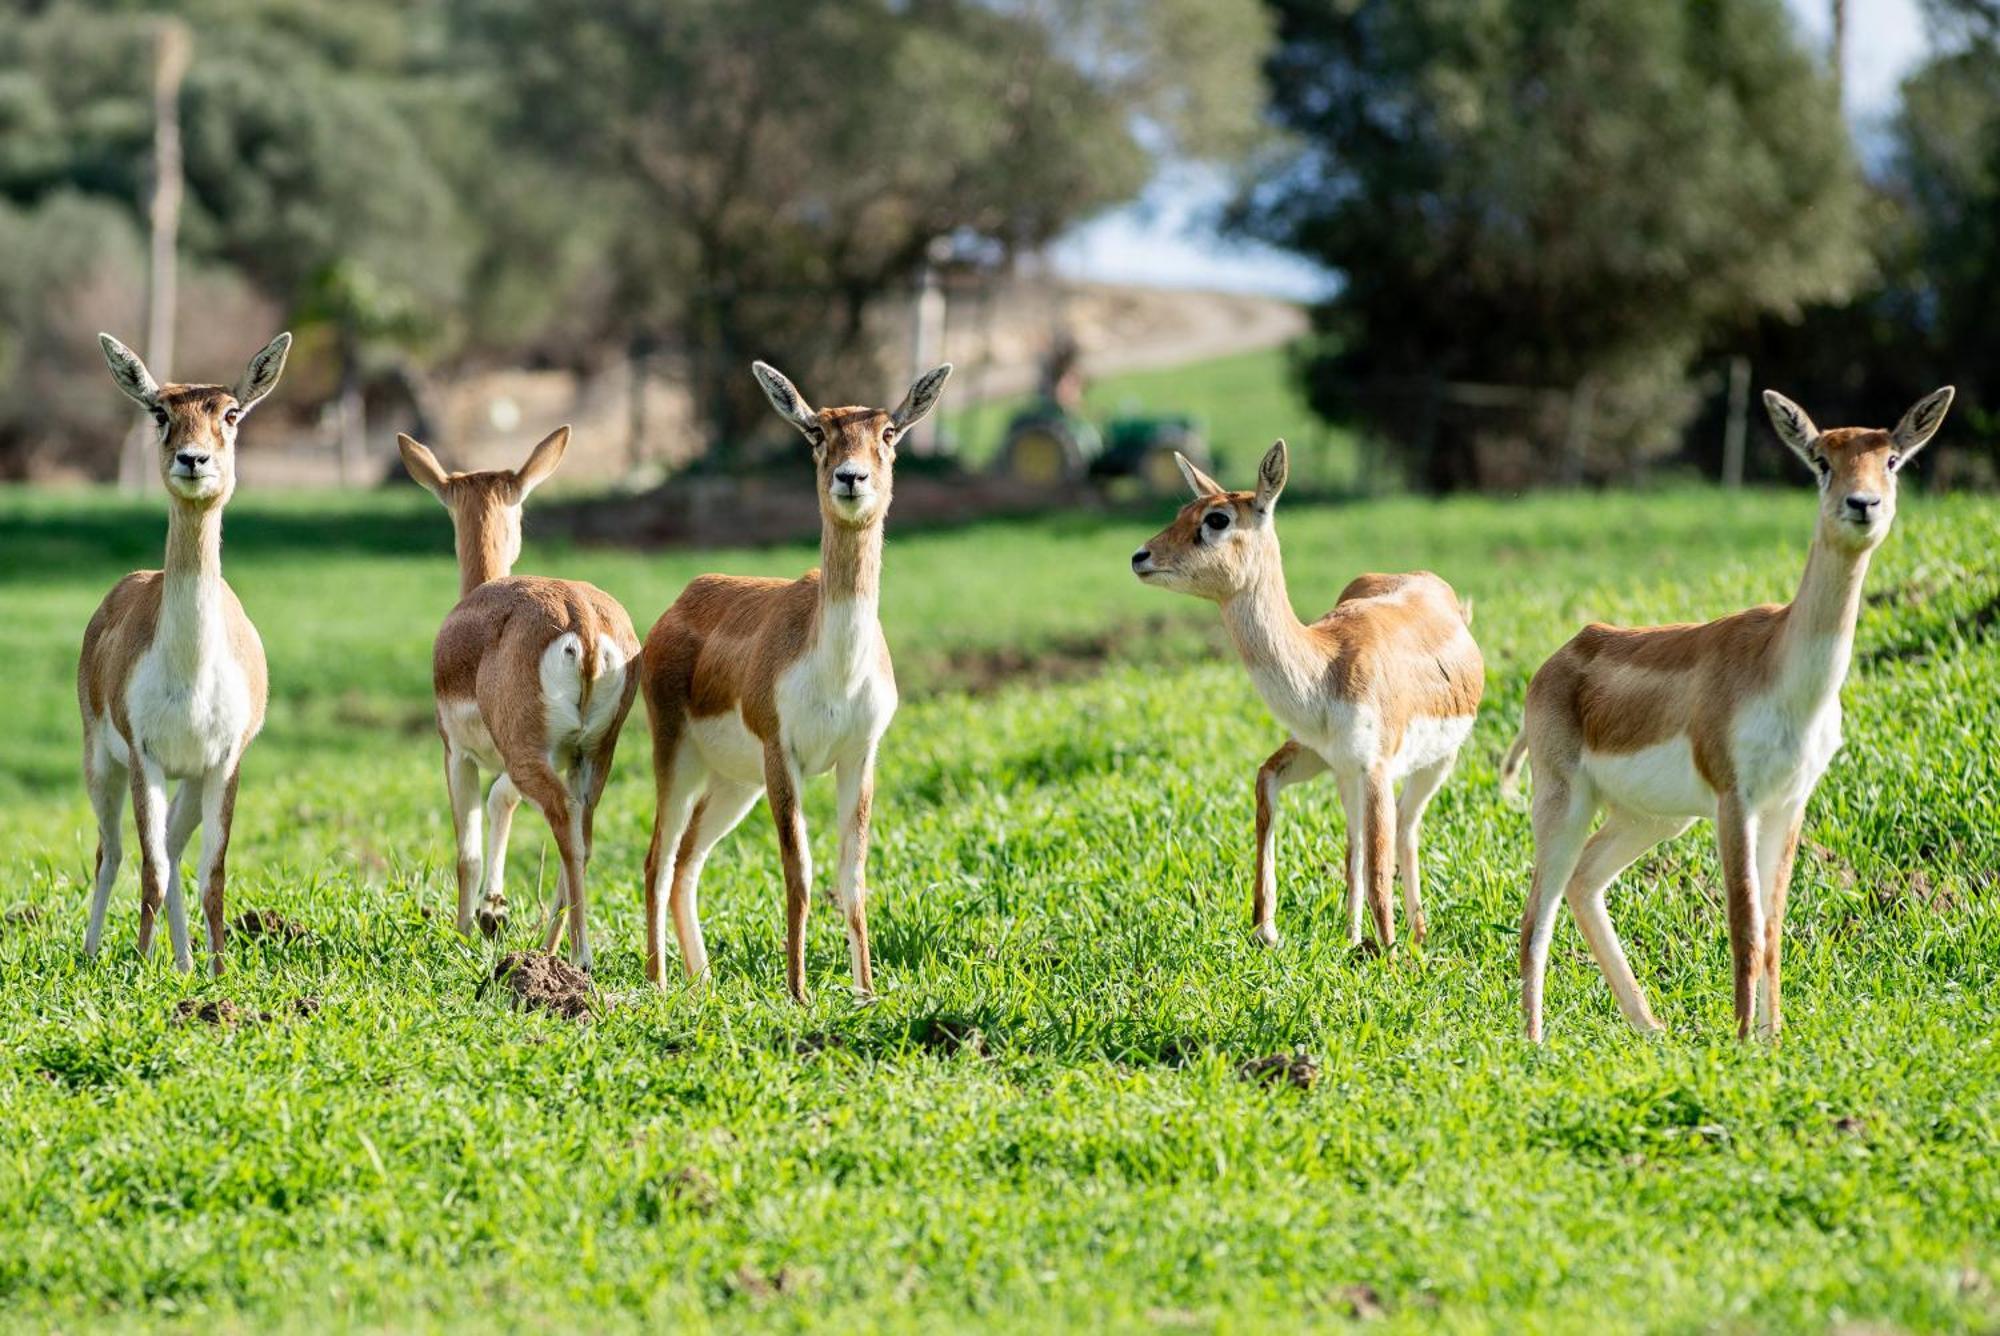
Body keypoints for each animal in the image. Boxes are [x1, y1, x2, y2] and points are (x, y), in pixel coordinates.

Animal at [80, 326, 292, 972]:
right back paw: (97, 955)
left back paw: (185, 962)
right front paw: (141, 969)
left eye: (231, 412)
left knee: (174, 849)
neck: (191, 672)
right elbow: (148, 868)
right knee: (113, 853)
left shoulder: (223, 762)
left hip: (191, 781)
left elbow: (212, 873)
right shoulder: (144, 757)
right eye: (160, 412)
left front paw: (220, 970)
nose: (193, 459)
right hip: (102, 765)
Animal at [394, 428, 636, 960]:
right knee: (583, 829)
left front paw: (468, 928)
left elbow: (466, 847)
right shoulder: (525, 759)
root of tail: (583, 623)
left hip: (535, 756)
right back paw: (549, 949)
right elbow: (501, 801)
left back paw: (578, 956)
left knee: (564, 817)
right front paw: (493, 912)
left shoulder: (456, 752)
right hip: (593, 754)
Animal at [640, 354, 952, 1000]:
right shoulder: (782, 754)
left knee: (688, 860)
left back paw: (701, 984)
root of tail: (679, 603)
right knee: (658, 857)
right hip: (678, 758)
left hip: (735, 783)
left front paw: (865, 991)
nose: (852, 479)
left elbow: (852, 874)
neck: (837, 667)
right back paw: (658, 982)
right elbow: (799, 871)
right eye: (816, 433)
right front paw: (799, 993)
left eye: (889, 431)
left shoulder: (860, 755)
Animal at [1128, 444, 1488, 956]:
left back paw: (1413, 938)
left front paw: (1392, 958)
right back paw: (1356, 938)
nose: (1141, 556)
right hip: (1346, 776)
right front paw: (1267, 930)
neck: (1325, 663)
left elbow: (1380, 870)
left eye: (1217, 518)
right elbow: (1267, 792)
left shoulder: (1376, 768)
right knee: (1357, 842)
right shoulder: (1318, 754)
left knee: (1405, 829)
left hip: (1437, 762)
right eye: (1182, 511)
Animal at [1512, 386, 1952, 1040]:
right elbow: (1744, 925)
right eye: (1821, 460)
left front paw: (1774, 1038)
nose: (1862, 504)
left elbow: (1771, 929)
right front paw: (1744, 1040)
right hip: (1565, 803)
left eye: (1892, 459)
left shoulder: (1789, 802)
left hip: (1650, 818)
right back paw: (1537, 1042)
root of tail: (1559, 658)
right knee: (1536, 915)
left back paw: (1651, 1028)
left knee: (1585, 881)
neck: (1783, 671)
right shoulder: (1733, 798)